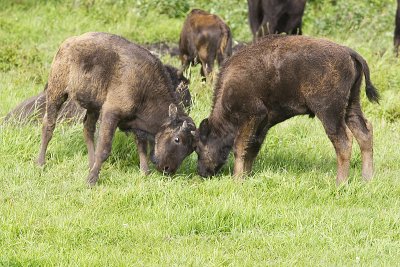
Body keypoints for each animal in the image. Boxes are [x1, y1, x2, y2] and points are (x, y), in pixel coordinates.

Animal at [36, 31, 196, 186]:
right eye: (177, 139)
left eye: (192, 149)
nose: (167, 169)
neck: (145, 86)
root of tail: (67, 43)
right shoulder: (111, 114)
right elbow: (104, 148)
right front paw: (91, 181)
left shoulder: (135, 123)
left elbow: (141, 146)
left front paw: (145, 172)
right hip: (57, 92)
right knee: (48, 125)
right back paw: (41, 163)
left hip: (93, 107)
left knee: (88, 129)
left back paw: (90, 164)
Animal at [195, 34, 380, 186]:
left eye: (198, 148)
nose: (202, 173)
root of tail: (348, 52)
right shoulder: (262, 123)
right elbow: (252, 148)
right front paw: (246, 176)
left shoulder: (251, 116)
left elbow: (240, 147)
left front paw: (237, 179)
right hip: (351, 105)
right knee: (364, 133)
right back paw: (367, 179)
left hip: (329, 112)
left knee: (343, 141)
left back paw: (340, 183)